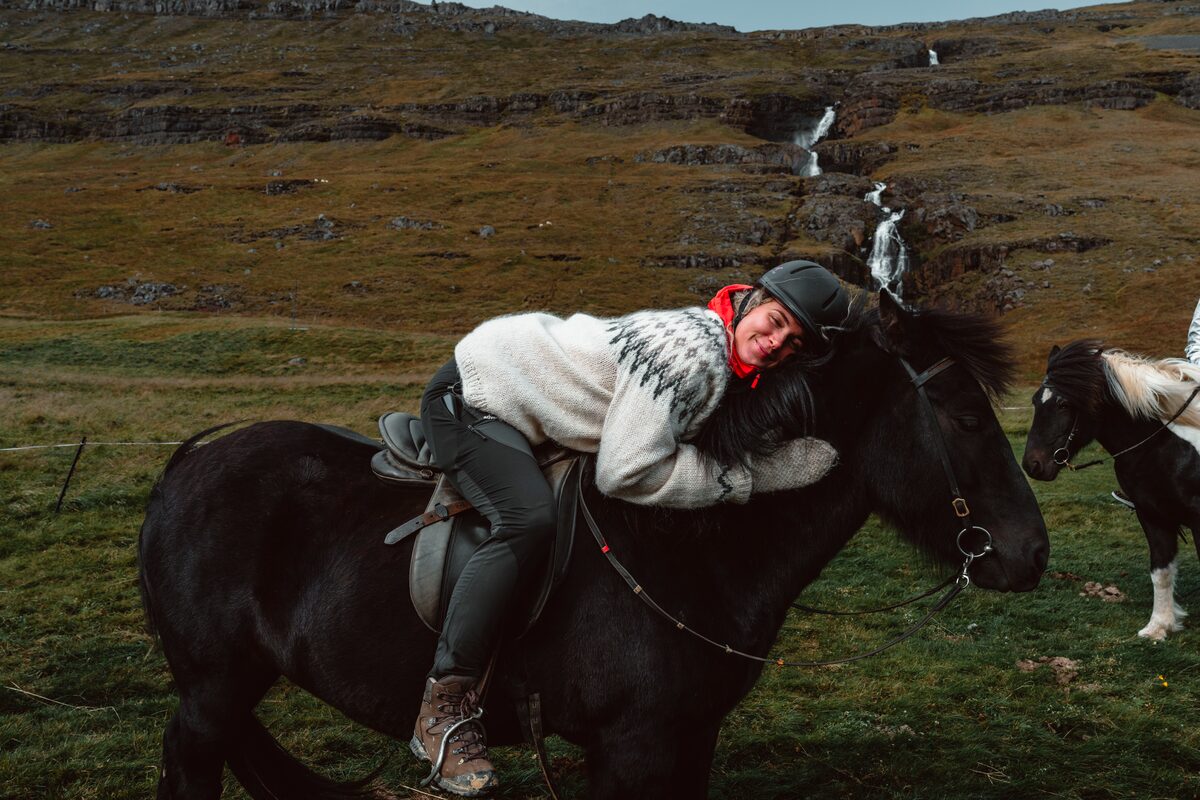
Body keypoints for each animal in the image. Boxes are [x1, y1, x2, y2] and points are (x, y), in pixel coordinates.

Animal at [139, 292, 1048, 799]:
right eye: (966, 417)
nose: (1031, 553)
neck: (687, 551)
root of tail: (189, 459)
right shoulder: (631, 748)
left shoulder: (687, 740)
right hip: (214, 687)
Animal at [1022, 340, 1200, 640]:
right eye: (1036, 400)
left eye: (1064, 403)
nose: (1032, 464)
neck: (1168, 446)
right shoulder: (1152, 516)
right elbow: (1161, 571)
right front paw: (1158, 626)